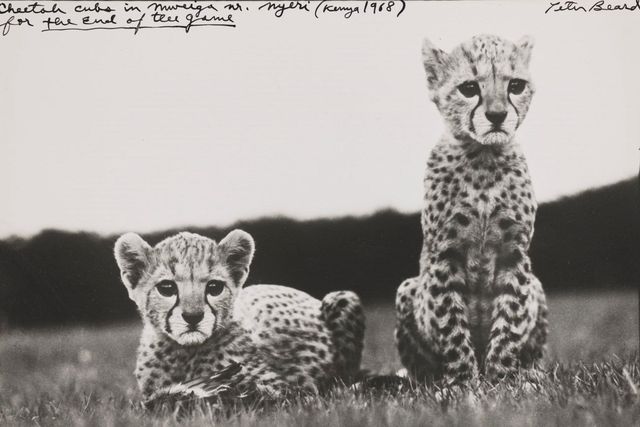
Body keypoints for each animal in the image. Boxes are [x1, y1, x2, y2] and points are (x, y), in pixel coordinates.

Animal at [114, 229, 365, 404]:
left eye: (214, 287)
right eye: (166, 288)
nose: (193, 316)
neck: (185, 353)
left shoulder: (289, 391)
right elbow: (158, 399)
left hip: (343, 297)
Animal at [395, 34, 548, 386]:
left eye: (515, 85)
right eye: (469, 89)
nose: (497, 115)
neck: (483, 156)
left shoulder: (515, 253)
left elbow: (509, 319)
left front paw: (503, 380)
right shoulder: (445, 254)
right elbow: (451, 323)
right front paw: (463, 382)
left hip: (537, 286)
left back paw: (532, 373)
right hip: (407, 288)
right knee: (419, 367)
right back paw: (427, 381)